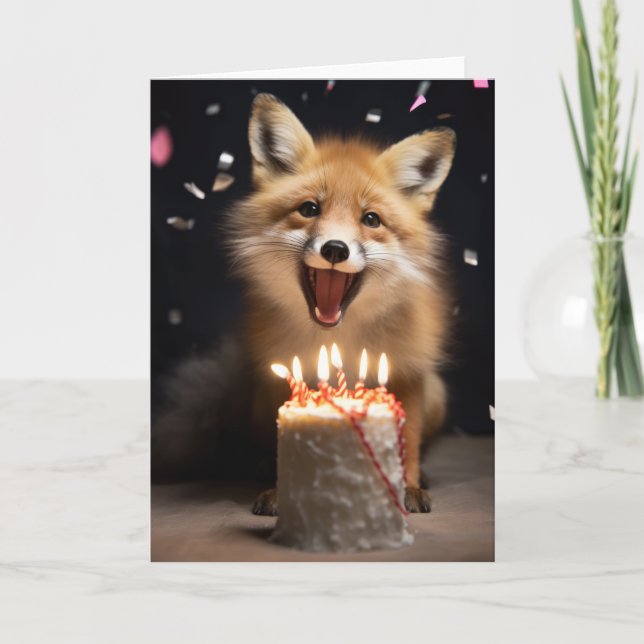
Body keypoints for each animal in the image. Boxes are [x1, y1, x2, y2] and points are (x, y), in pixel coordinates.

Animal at [152, 92, 456, 515]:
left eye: (371, 219)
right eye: (310, 209)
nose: (335, 249)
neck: (339, 340)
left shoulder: (408, 373)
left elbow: (407, 441)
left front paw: (407, 487)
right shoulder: (285, 373)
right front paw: (284, 492)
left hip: (437, 396)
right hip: (259, 397)